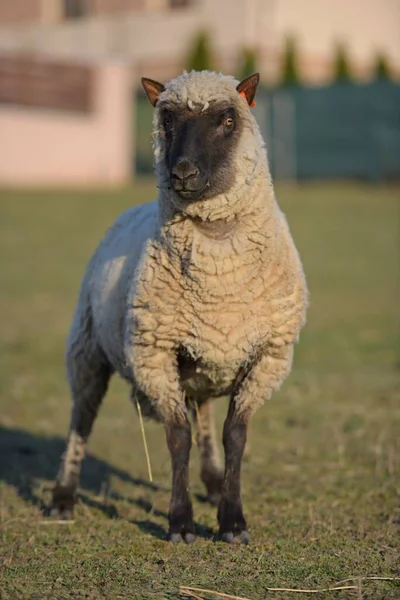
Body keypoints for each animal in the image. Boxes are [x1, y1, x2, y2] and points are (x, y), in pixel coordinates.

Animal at [50, 70, 308, 544]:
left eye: (228, 120)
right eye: (166, 119)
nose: (182, 172)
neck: (220, 275)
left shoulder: (269, 358)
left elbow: (234, 436)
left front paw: (232, 521)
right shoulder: (154, 354)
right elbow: (178, 438)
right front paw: (181, 524)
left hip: (202, 364)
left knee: (203, 414)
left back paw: (212, 482)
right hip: (87, 348)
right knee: (81, 419)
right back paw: (62, 498)